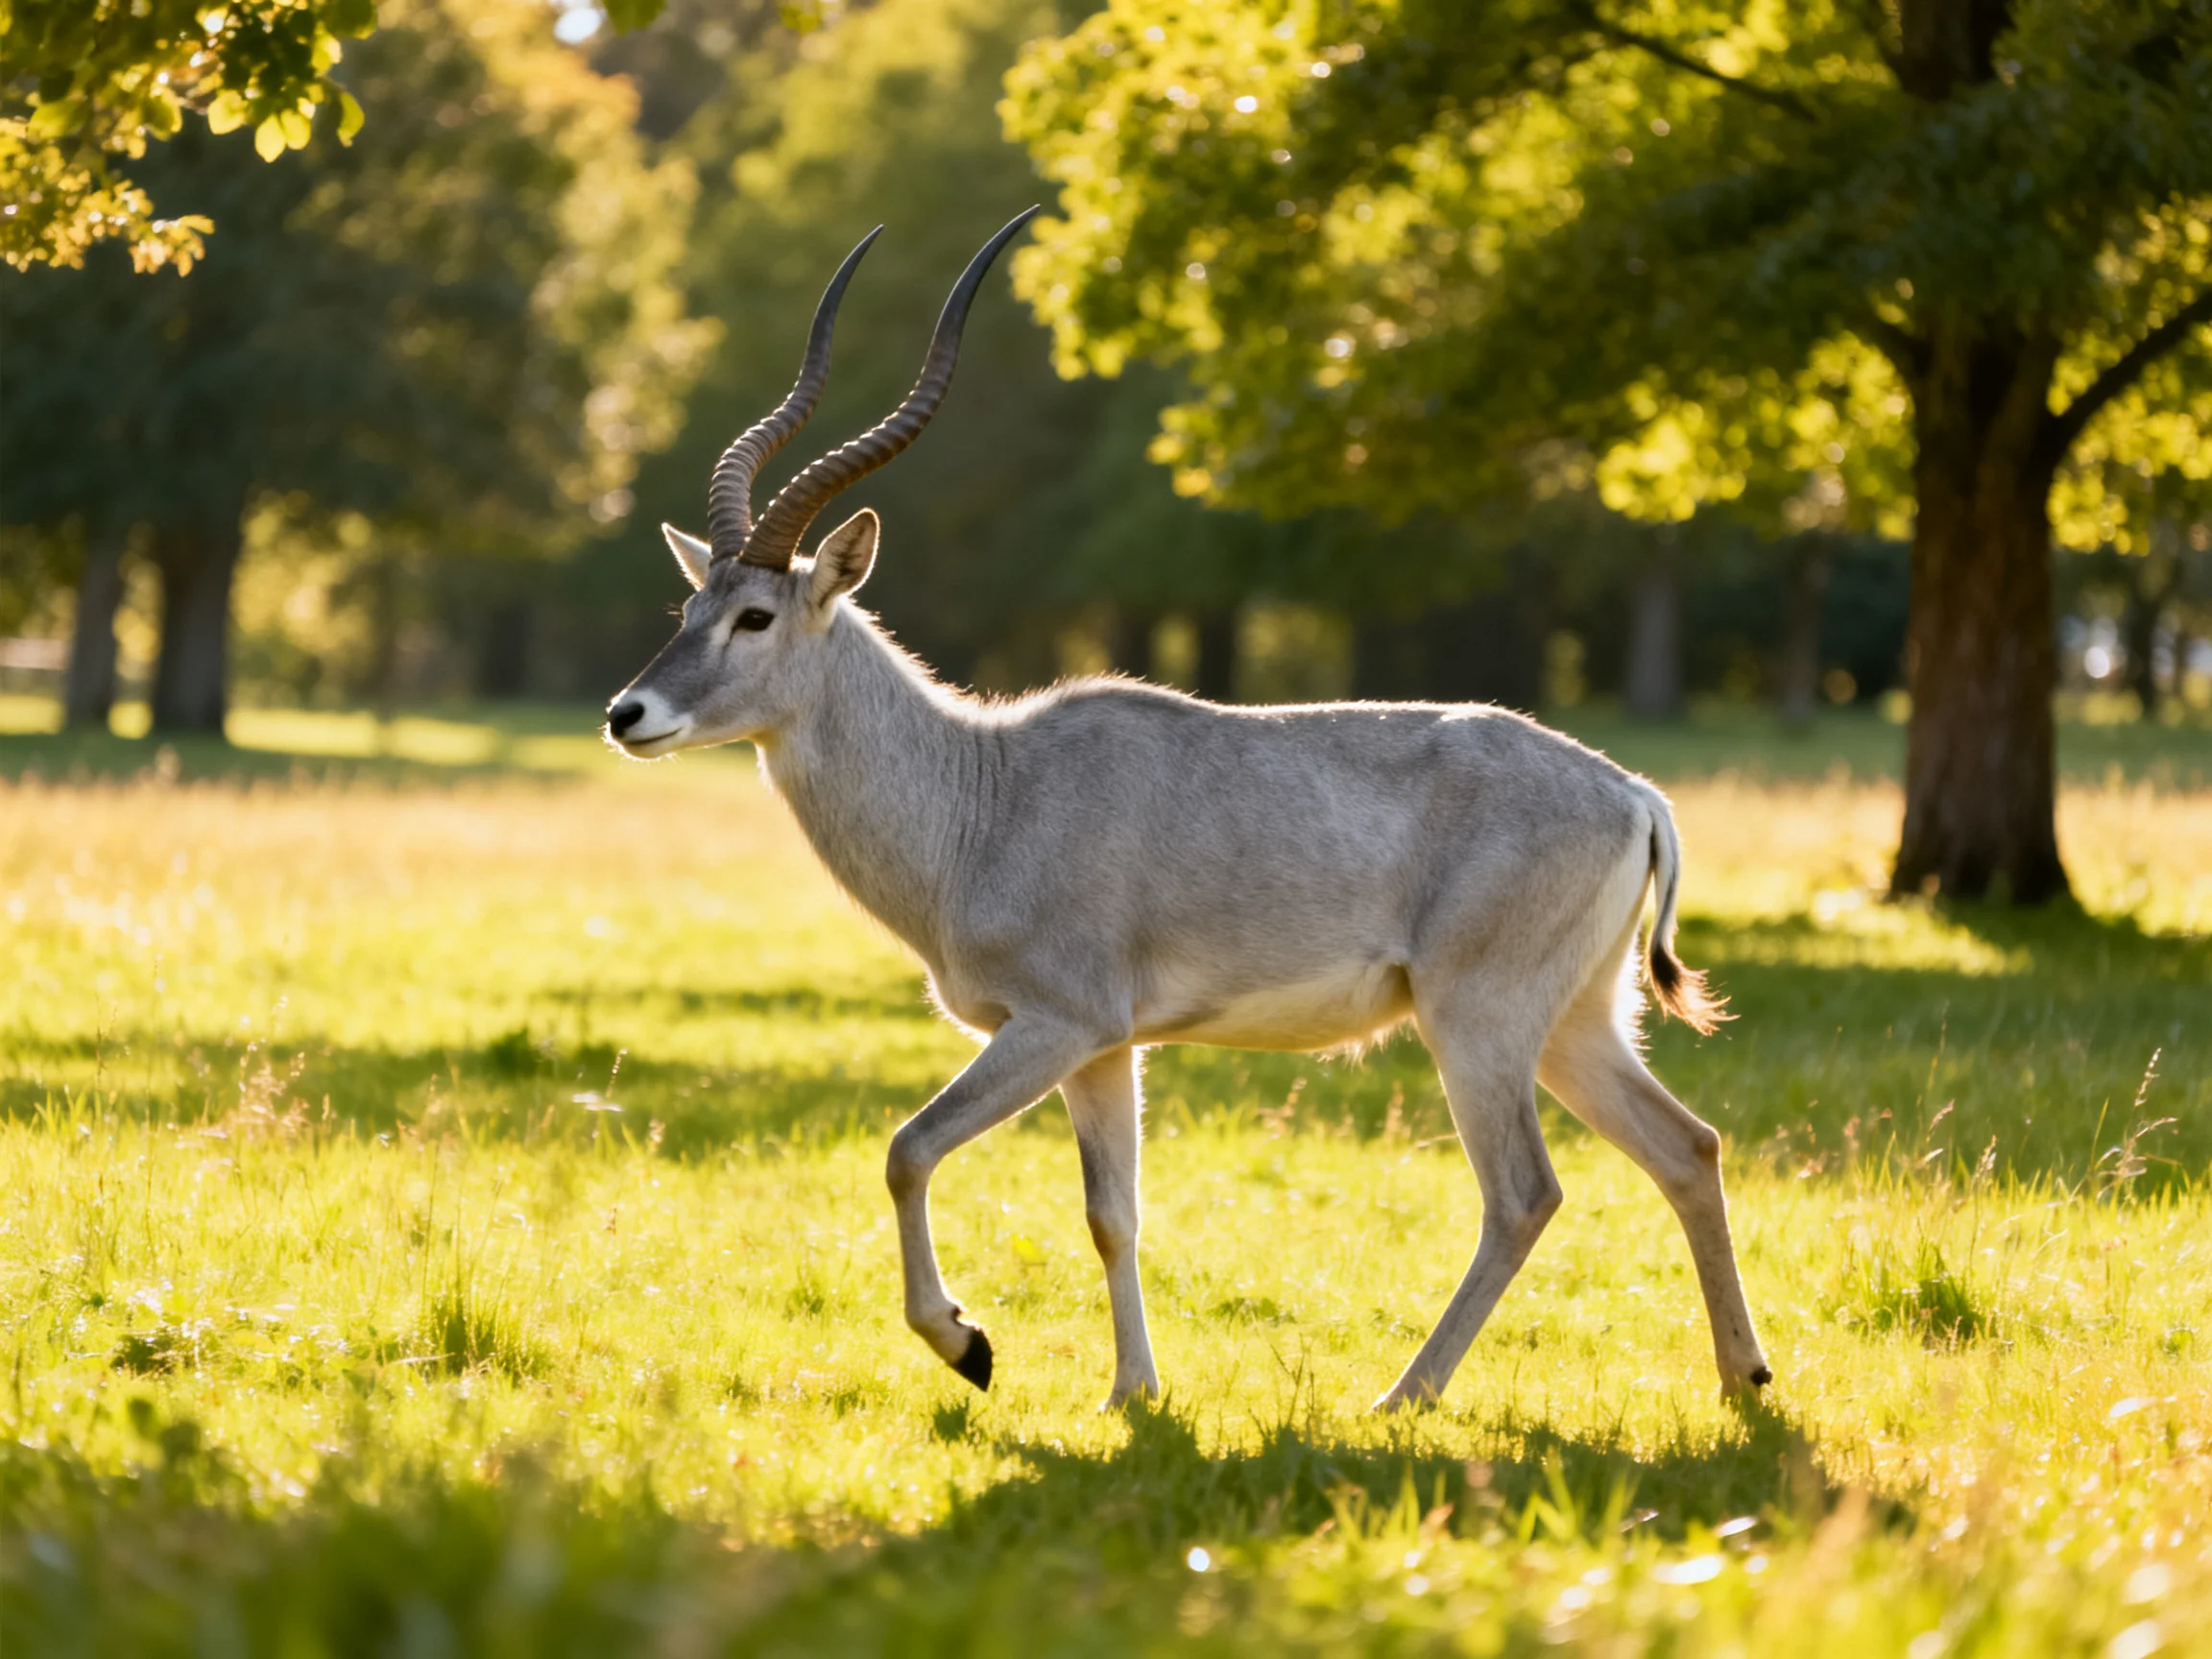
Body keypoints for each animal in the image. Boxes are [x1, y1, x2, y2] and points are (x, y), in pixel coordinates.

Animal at [606, 209, 1770, 1410]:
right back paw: (1743, 1381)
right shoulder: (1105, 1049)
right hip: (1579, 1020)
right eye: (689, 606)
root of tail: (1629, 792)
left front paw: (968, 1346)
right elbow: (1111, 1212)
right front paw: (1133, 1392)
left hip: (1478, 1019)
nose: (625, 713)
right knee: (1688, 1147)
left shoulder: (1055, 1023)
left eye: (753, 616)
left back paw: (1403, 1396)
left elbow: (908, 1147)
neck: (985, 793)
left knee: (1525, 1191)